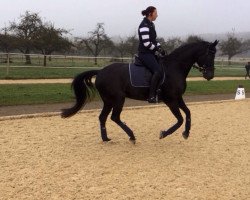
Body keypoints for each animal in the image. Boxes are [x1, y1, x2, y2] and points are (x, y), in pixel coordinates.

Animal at [61, 40, 218, 142]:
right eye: (210, 55)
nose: (210, 75)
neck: (174, 67)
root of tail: (100, 72)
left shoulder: (178, 98)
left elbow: (188, 113)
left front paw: (186, 132)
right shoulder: (171, 100)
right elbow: (179, 119)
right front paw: (164, 134)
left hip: (109, 100)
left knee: (103, 117)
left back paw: (105, 138)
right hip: (118, 99)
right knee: (114, 117)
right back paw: (131, 136)